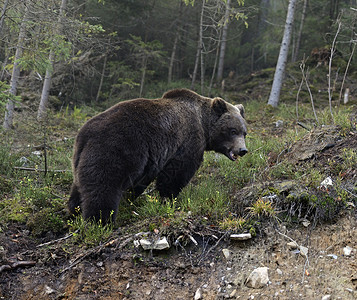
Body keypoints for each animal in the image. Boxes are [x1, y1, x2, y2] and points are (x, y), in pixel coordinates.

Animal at [69, 89, 248, 223]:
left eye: (244, 132)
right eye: (232, 130)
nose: (242, 150)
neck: (203, 123)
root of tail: (85, 133)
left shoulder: (152, 159)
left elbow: (143, 180)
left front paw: (132, 198)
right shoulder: (187, 141)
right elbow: (177, 173)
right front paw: (169, 199)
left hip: (81, 157)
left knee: (79, 186)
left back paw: (74, 212)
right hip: (115, 149)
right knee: (103, 187)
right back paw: (100, 221)